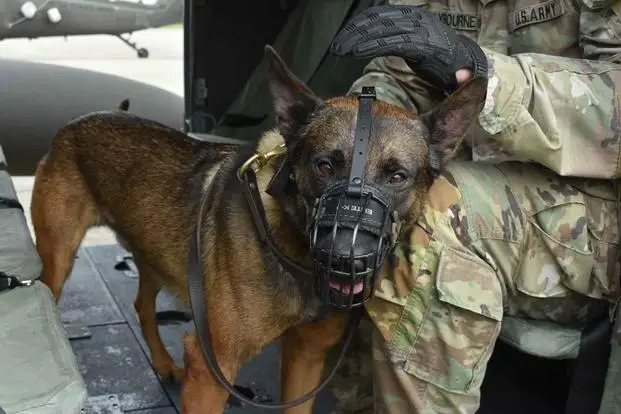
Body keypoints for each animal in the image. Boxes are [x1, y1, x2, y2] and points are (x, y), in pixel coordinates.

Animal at [31, 46, 486, 414]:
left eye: (397, 176)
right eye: (324, 164)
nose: (345, 257)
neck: (292, 244)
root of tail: (82, 119)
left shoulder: (306, 358)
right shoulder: (212, 369)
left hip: (152, 254)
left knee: (143, 306)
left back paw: (161, 363)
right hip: (58, 262)